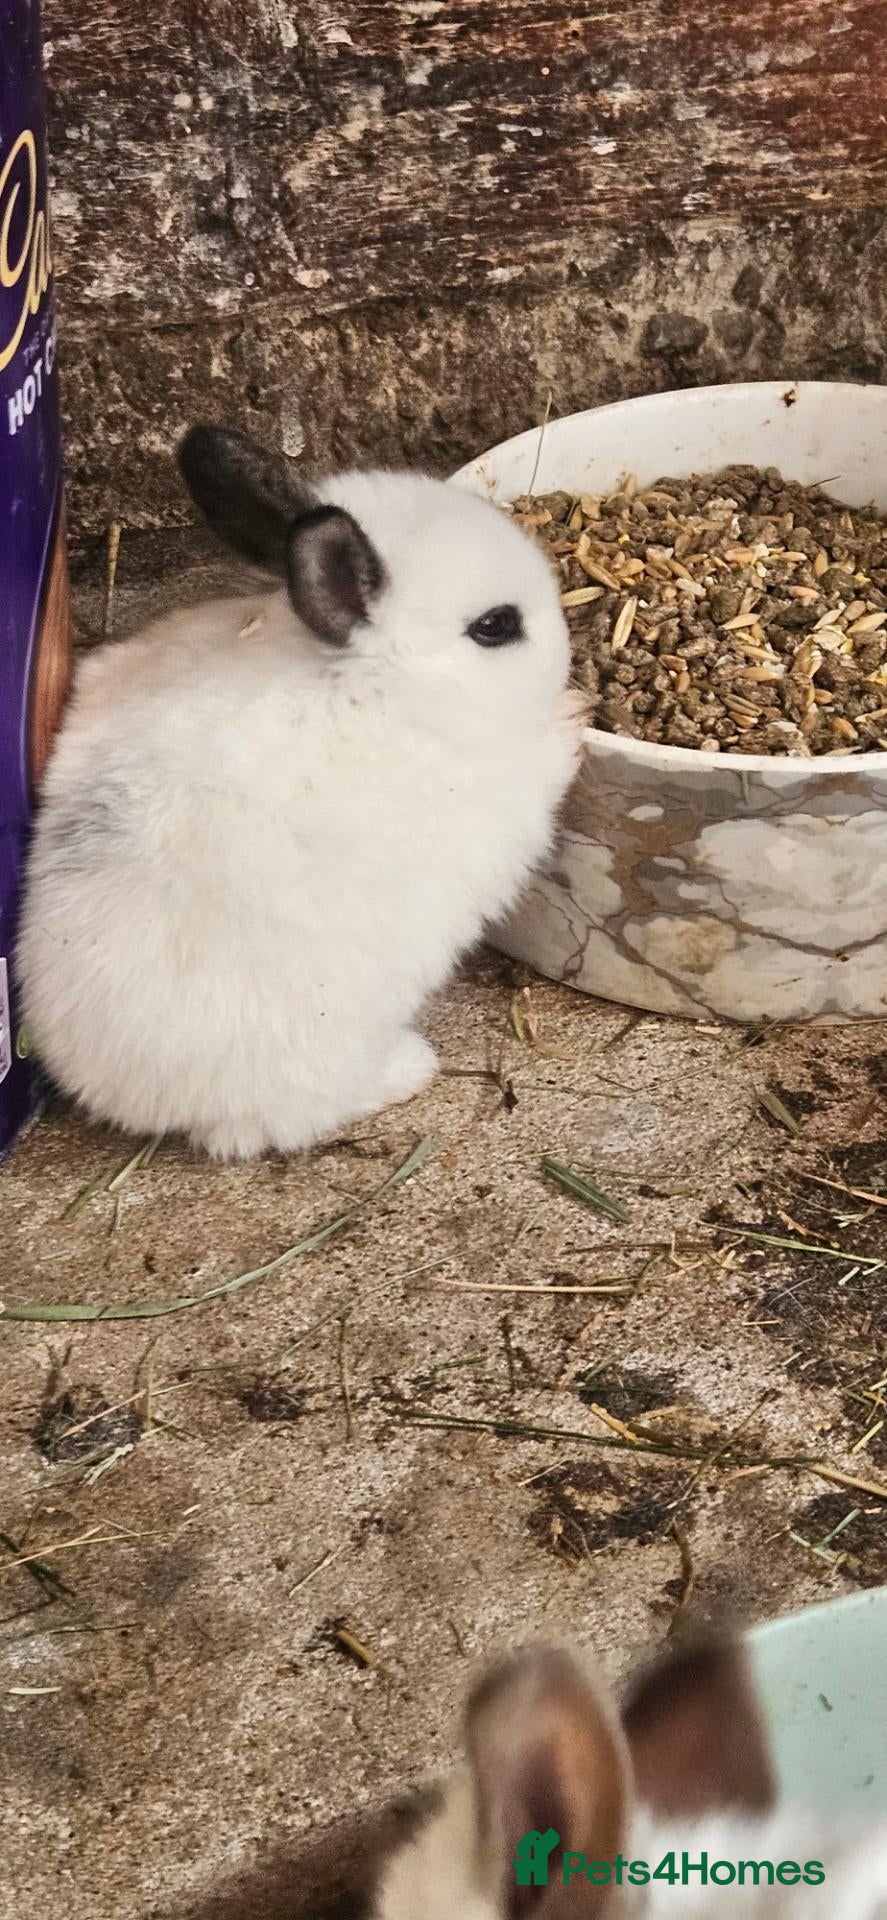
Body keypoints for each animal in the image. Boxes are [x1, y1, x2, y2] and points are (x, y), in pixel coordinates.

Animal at [17, 426, 582, 1160]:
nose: (569, 653)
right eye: (495, 625)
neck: (366, 679)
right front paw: (574, 718)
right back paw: (410, 1068)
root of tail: (124, 1096)